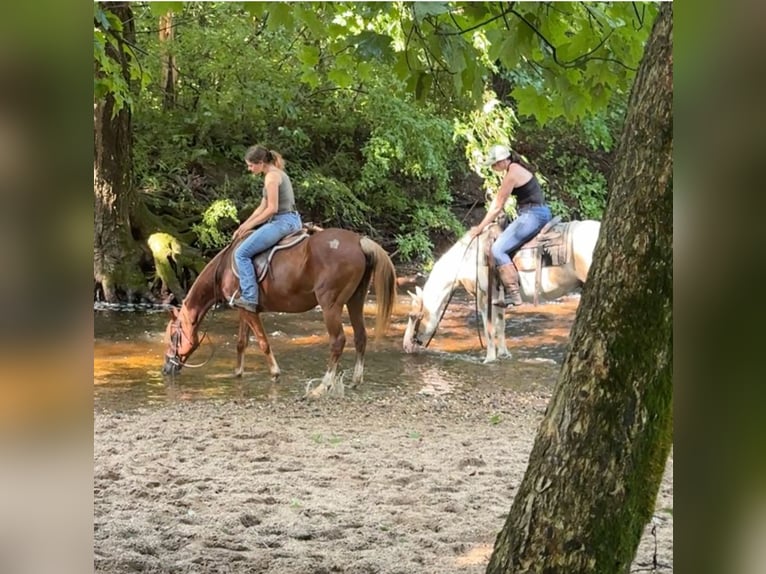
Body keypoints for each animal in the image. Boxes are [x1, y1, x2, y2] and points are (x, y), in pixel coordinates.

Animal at [164, 227, 400, 398]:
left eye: (174, 335)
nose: (166, 369)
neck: (224, 269)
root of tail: (360, 241)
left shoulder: (250, 312)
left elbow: (262, 342)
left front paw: (275, 373)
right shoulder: (243, 309)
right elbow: (241, 342)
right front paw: (237, 373)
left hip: (330, 305)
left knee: (338, 341)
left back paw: (322, 387)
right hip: (355, 300)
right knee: (360, 336)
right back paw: (355, 381)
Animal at [404, 220, 604, 364]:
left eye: (414, 316)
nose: (405, 346)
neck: (469, 258)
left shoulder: (484, 297)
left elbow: (489, 328)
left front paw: (489, 358)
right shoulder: (499, 298)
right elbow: (501, 326)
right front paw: (503, 354)